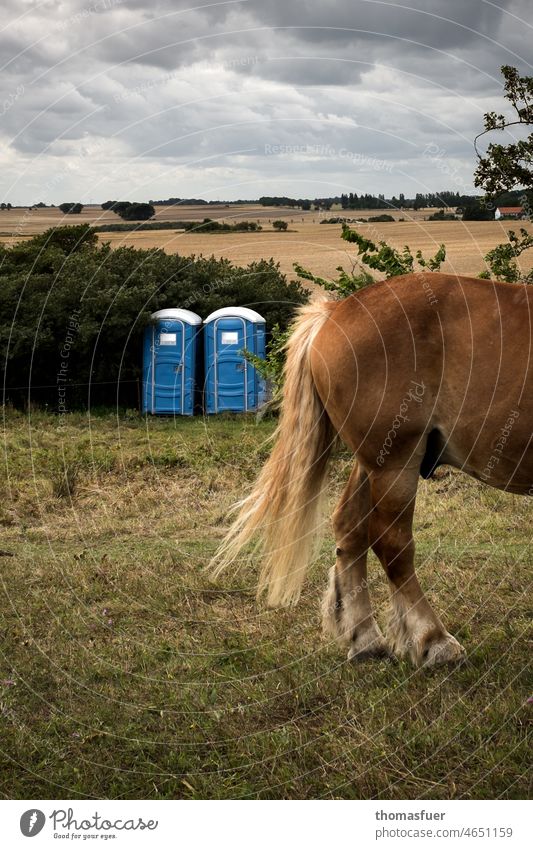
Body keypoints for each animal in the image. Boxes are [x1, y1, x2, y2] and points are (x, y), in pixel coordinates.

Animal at [210, 274, 528, 664]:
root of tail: (334, 313)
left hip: (371, 463)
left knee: (350, 527)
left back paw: (364, 638)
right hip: (394, 461)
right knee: (392, 542)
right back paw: (432, 639)